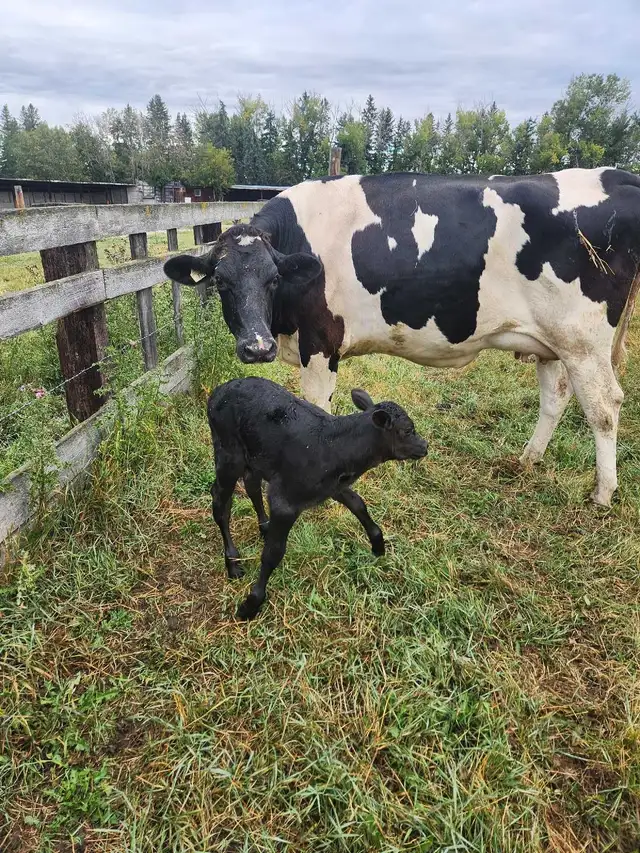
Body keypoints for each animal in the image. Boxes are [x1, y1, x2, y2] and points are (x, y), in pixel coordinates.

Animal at [164, 168, 640, 507]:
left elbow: (315, 408)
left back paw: (603, 493)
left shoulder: (320, 342)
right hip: (550, 341)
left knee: (604, 406)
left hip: (583, 341)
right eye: (221, 281)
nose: (256, 347)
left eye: (273, 279)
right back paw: (527, 459)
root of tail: (616, 175)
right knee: (556, 396)